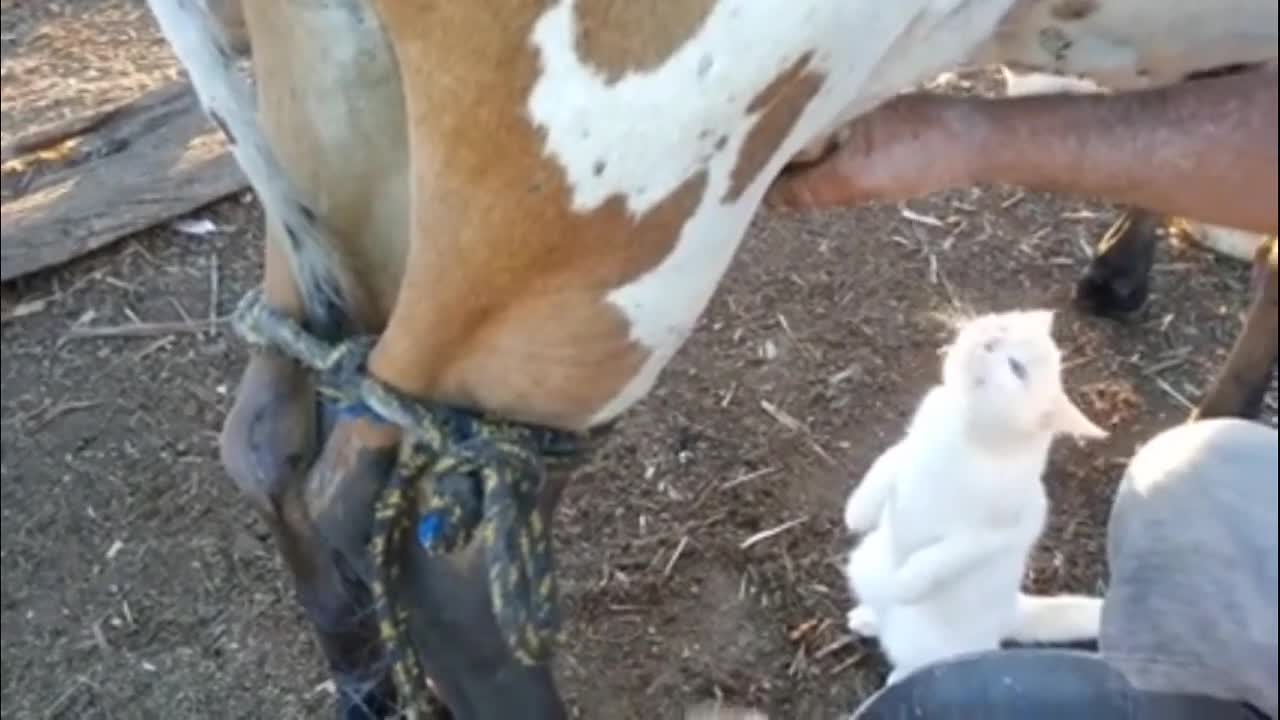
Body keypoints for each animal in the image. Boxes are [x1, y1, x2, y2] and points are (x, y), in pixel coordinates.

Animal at [844, 307, 1105, 681]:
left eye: (1017, 368)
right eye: (1002, 326)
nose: (988, 339)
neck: (964, 433)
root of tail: (1010, 611)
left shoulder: (995, 532)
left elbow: (942, 557)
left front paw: (908, 581)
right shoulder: (909, 445)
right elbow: (886, 464)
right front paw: (858, 511)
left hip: (927, 642)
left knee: (921, 663)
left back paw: (900, 675)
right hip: (863, 565)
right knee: (881, 613)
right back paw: (866, 618)